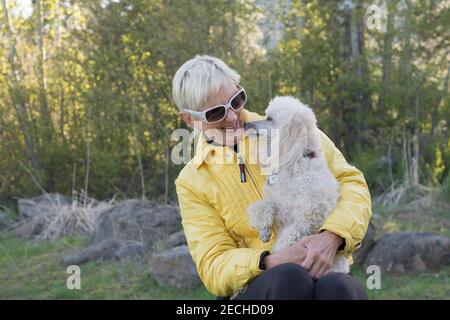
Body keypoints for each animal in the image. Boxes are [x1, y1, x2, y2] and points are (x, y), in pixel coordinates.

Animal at [246, 95, 348, 272]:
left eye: (269, 118)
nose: (247, 125)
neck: (297, 161)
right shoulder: (281, 205)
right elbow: (263, 206)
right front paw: (264, 229)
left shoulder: (309, 216)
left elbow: (290, 236)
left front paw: (280, 252)